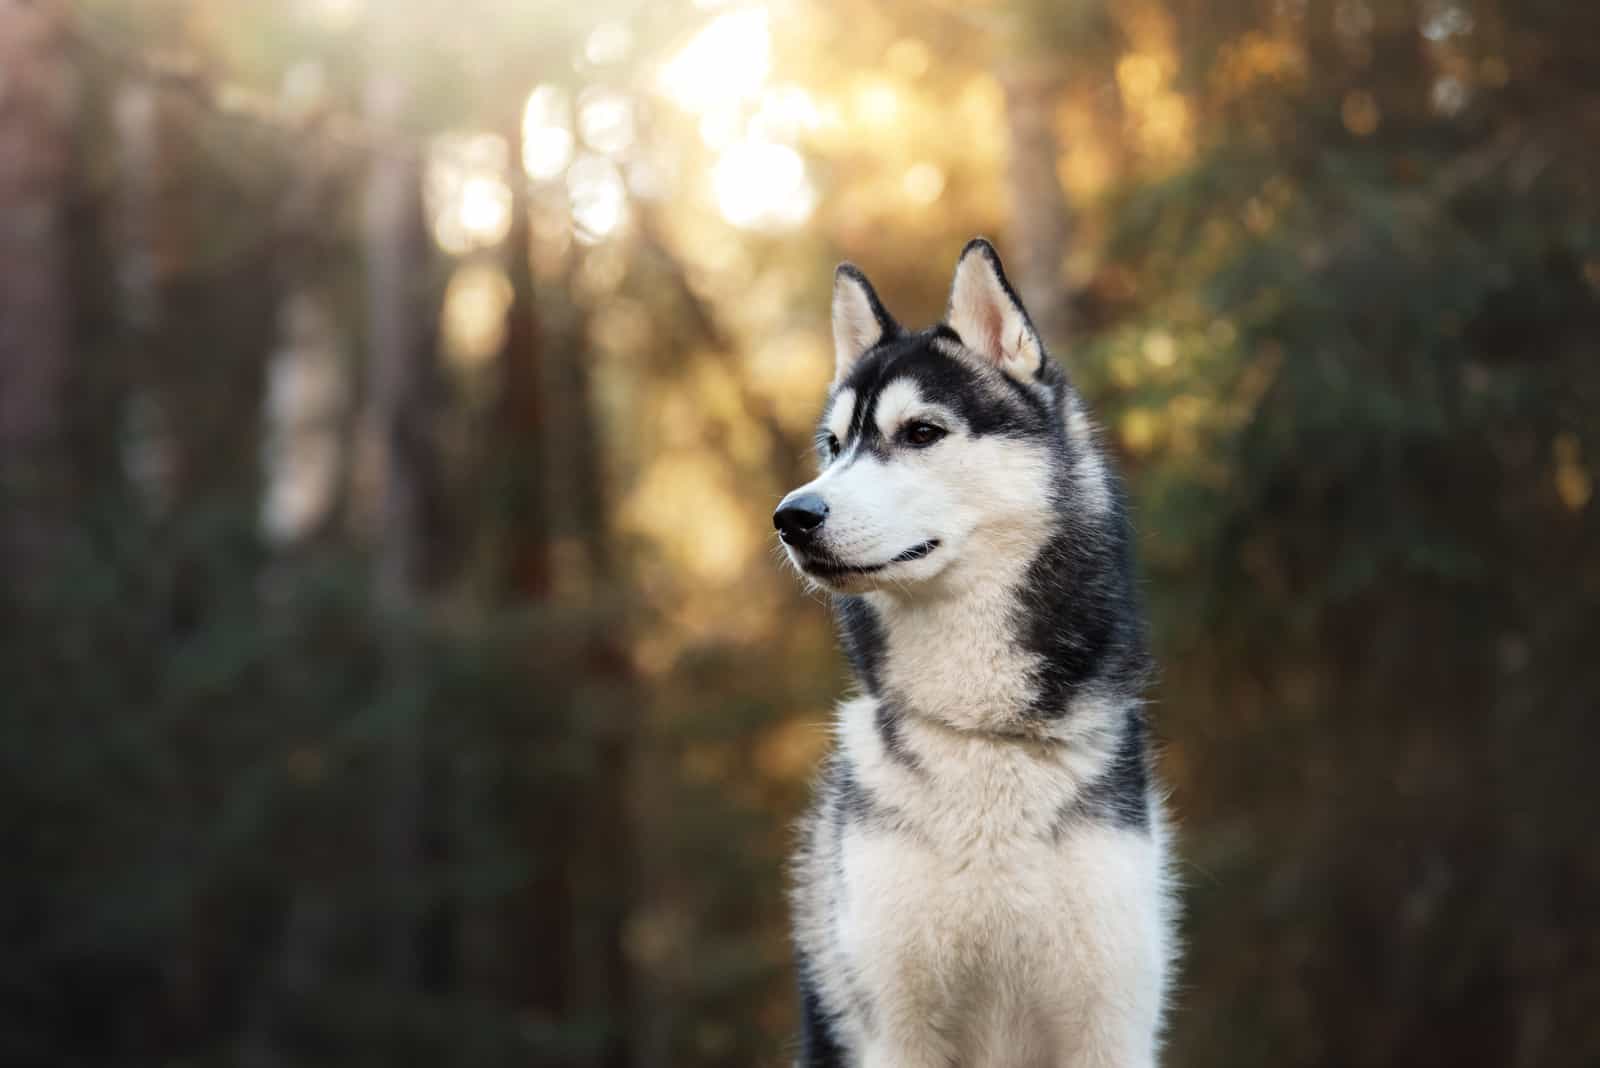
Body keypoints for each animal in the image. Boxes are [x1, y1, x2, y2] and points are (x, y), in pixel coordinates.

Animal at [777, 238, 1177, 1061]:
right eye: (833, 446)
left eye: (921, 433)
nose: (792, 516)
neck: (983, 733)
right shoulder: (897, 1028)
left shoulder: (1110, 1021)